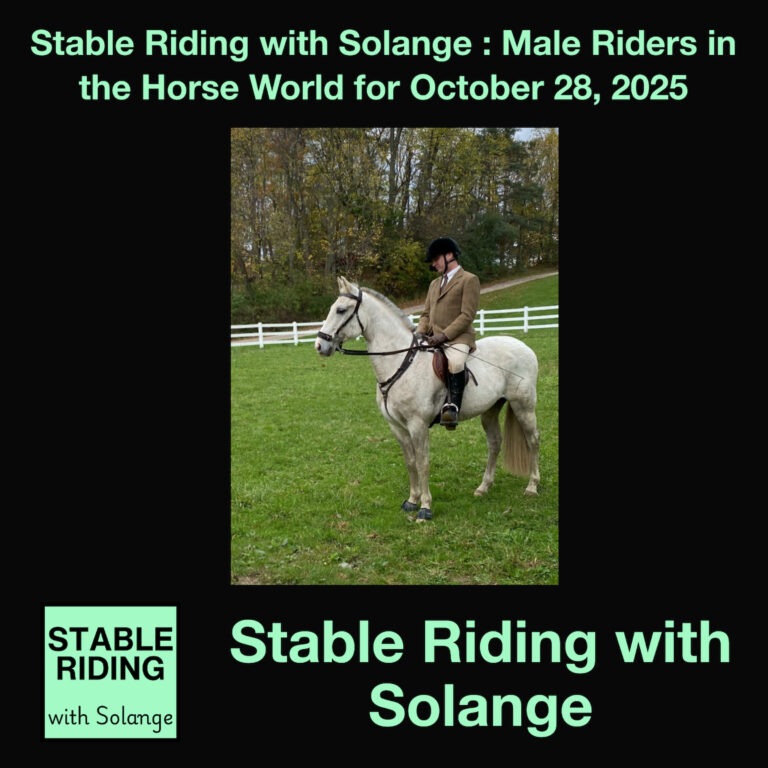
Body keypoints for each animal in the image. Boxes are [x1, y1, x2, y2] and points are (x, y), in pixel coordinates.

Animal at [315, 276, 540, 520]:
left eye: (340, 310)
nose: (320, 345)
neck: (401, 362)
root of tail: (524, 347)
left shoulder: (417, 424)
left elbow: (423, 463)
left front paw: (425, 507)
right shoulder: (397, 426)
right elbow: (410, 462)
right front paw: (412, 501)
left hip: (523, 405)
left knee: (533, 439)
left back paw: (532, 486)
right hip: (490, 410)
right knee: (495, 443)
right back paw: (483, 487)